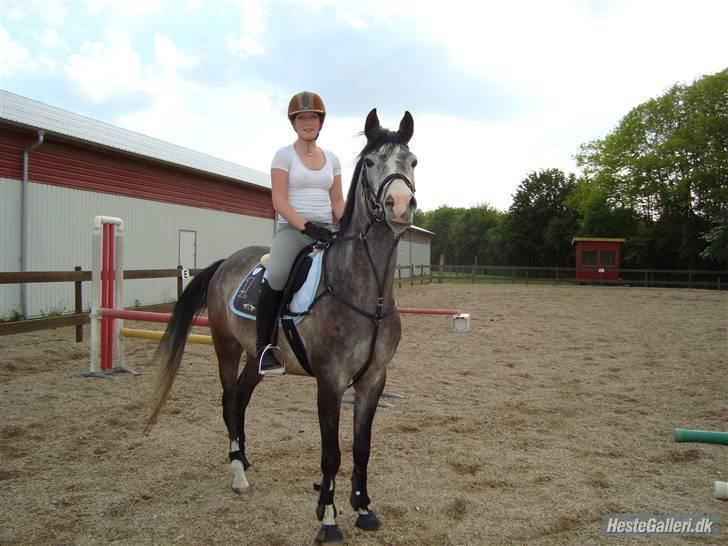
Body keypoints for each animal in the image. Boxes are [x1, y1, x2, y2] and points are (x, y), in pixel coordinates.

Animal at [145, 108, 418, 540]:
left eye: (413, 162)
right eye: (372, 163)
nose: (401, 204)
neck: (364, 292)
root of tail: (226, 262)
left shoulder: (374, 378)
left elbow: (361, 447)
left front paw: (363, 508)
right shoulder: (331, 381)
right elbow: (331, 453)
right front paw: (328, 518)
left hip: (257, 358)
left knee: (241, 399)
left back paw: (245, 460)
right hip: (226, 346)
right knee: (229, 399)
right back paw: (237, 473)